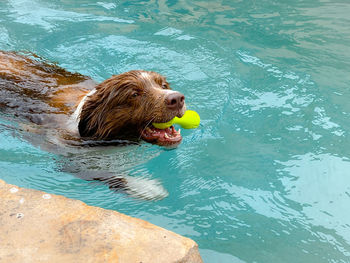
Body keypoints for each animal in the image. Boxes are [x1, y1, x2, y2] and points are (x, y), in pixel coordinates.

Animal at [0, 50, 187, 200]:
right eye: (134, 94)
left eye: (163, 85)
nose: (177, 98)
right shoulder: (67, 155)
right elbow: (107, 174)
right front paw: (146, 187)